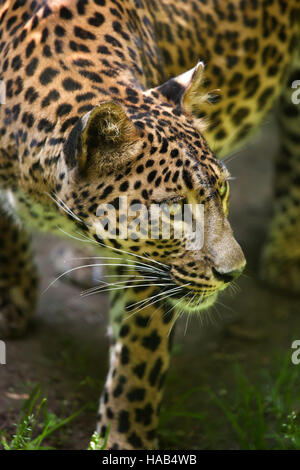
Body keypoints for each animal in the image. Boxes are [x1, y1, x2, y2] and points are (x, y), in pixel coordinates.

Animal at [0, 0, 298, 450]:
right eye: (174, 209)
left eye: (222, 189)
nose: (234, 273)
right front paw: (11, 299)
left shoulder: (147, 266)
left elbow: (139, 358)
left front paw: (124, 440)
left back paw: (287, 255)